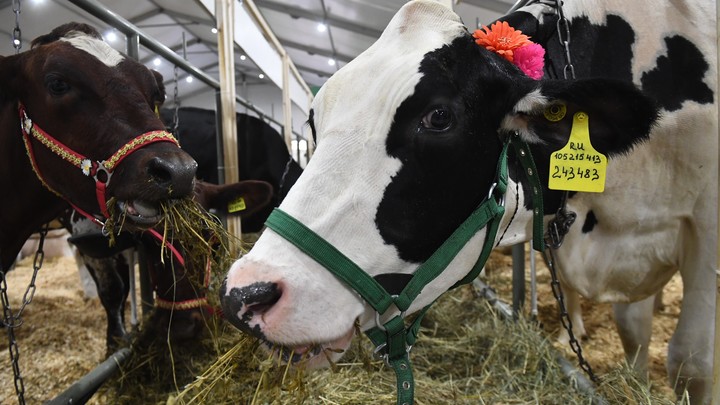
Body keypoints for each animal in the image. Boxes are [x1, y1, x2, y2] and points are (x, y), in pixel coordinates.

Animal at [219, 1, 716, 402]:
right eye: (313, 122)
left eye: (439, 117)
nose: (245, 295)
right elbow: (634, 332)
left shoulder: (702, 229)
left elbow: (691, 361)